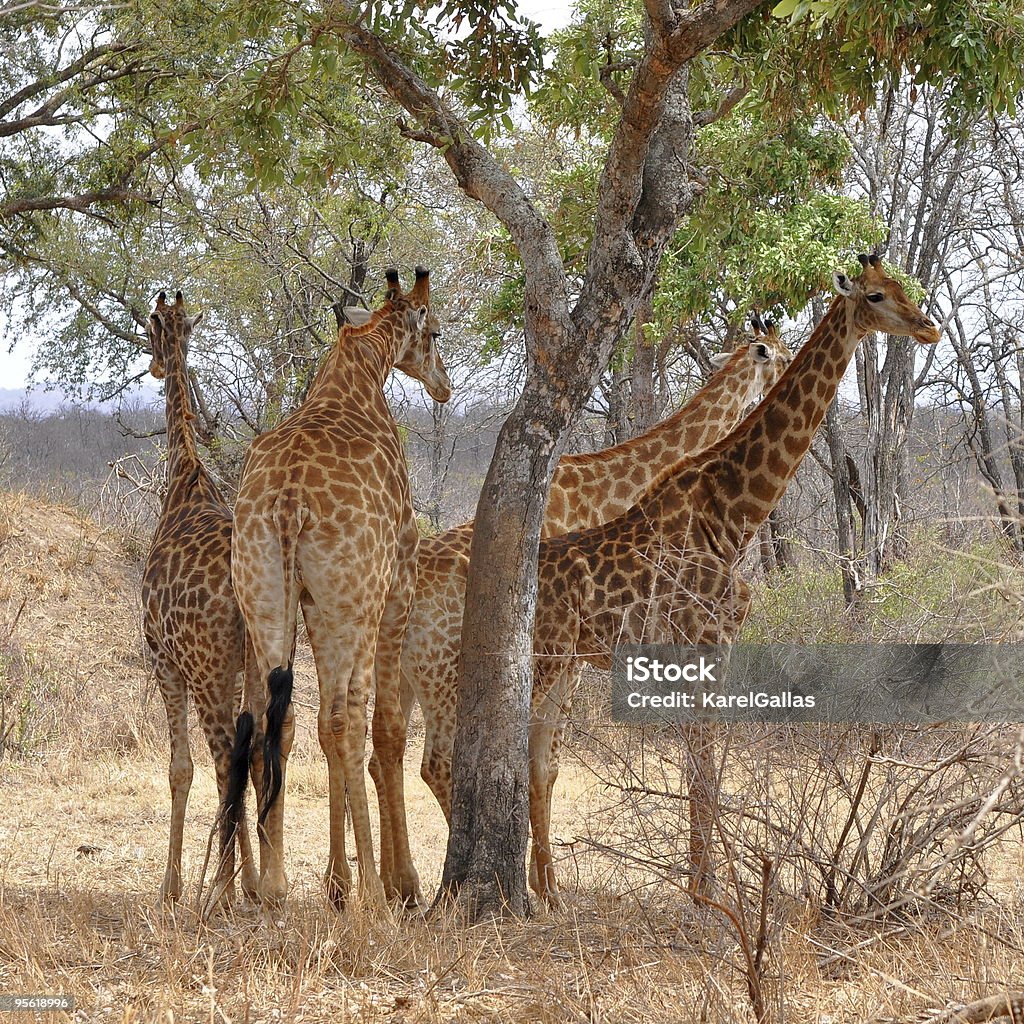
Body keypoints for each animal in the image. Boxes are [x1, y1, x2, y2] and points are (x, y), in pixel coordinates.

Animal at [228, 268, 452, 909]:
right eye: (434, 330)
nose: (445, 386)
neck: (356, 372)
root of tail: (288, 500)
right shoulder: (398, 581)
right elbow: (386, 727)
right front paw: (396, 883)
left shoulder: (310, 601)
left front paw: (336, 882)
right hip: (352, 603)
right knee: (342, 720)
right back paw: (374, 892)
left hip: (269, 598)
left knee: (279, 719)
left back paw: (275, 883)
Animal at [368, 313, 790, 897]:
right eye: (777, 354)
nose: (790, 372)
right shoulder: (569, 655)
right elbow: (541, 764)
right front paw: (544, 884)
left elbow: (541, 764)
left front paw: (544, 881)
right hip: (442, 675)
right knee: (433, 760)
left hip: (403, 672)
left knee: (384, 749)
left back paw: (393, 888)